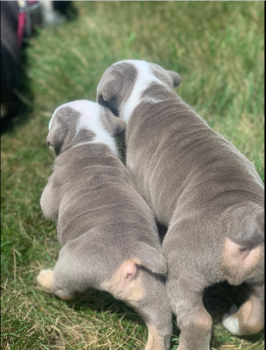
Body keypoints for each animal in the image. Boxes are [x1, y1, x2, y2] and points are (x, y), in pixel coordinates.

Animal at [38, 99, 174, 350]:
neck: (89, 139)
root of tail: (132, 252)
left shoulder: (52, 192)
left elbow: (47, 207)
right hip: (153, 292)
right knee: (160, 329)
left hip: (71, 265)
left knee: (63, 290)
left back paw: (44, 279)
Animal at [97, 60, 264, 350]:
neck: (151, 89)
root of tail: (244, 223)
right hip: (262, 277)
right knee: (257, 315)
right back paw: (233, 320)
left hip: (181, 265)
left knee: (198, 321)